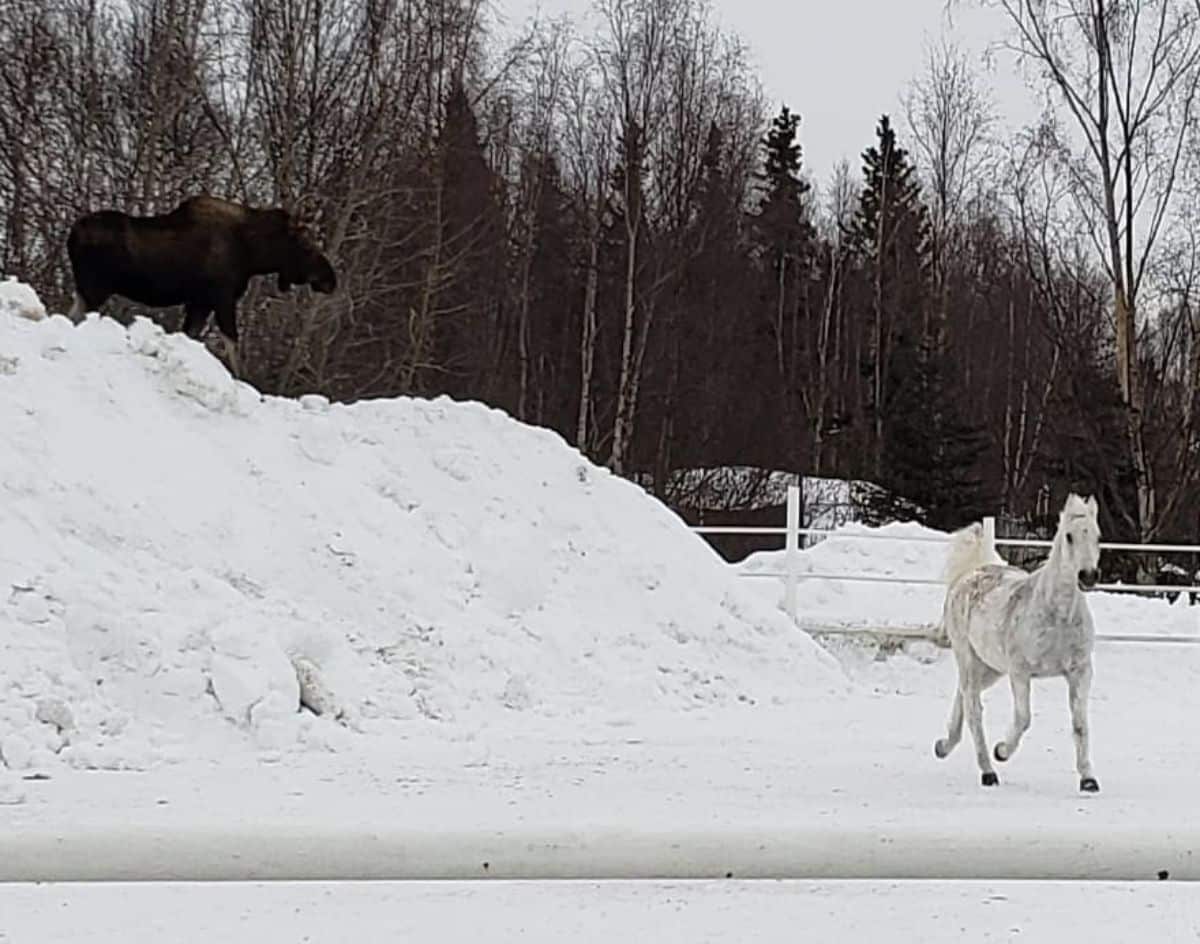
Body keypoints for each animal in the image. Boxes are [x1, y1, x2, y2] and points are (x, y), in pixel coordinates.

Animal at [67, 194, 338, 343]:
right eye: (306, 245)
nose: (330, 279)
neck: (254, 254)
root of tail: (72, 234)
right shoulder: (221, 298)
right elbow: (233, 345)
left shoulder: (200, 302)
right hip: (95, 288)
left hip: (85, 288)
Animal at [931, 491, 1099, 791]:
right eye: (1069, 536)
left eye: (1097, 536)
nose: (1088, 576)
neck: (1056, 615)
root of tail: (968, 576)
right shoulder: (1020, 672)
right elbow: (1024, 718)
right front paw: (1002, 751)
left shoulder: (1080, 671)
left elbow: (1080, 724)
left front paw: (1088, 779)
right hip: (968, 659)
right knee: (973, 709)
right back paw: (988, 771)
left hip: (990, 668)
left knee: (963, 695)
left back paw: (943, 746)